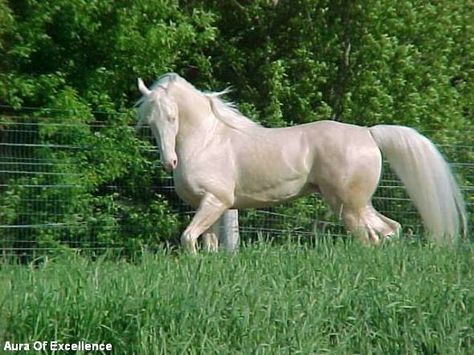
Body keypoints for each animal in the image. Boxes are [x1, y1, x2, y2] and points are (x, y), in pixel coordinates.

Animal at [135, 73, 464, 253]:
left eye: (172, 117)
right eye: (149, 122)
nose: (169, 162)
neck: (208, 140)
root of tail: (368, 133)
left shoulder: (215, 201)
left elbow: (188, 238)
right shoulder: (212, 207)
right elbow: (208, 245)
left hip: (348, 206)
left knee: (370, 237)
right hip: (359, 204)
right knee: (390, 229)